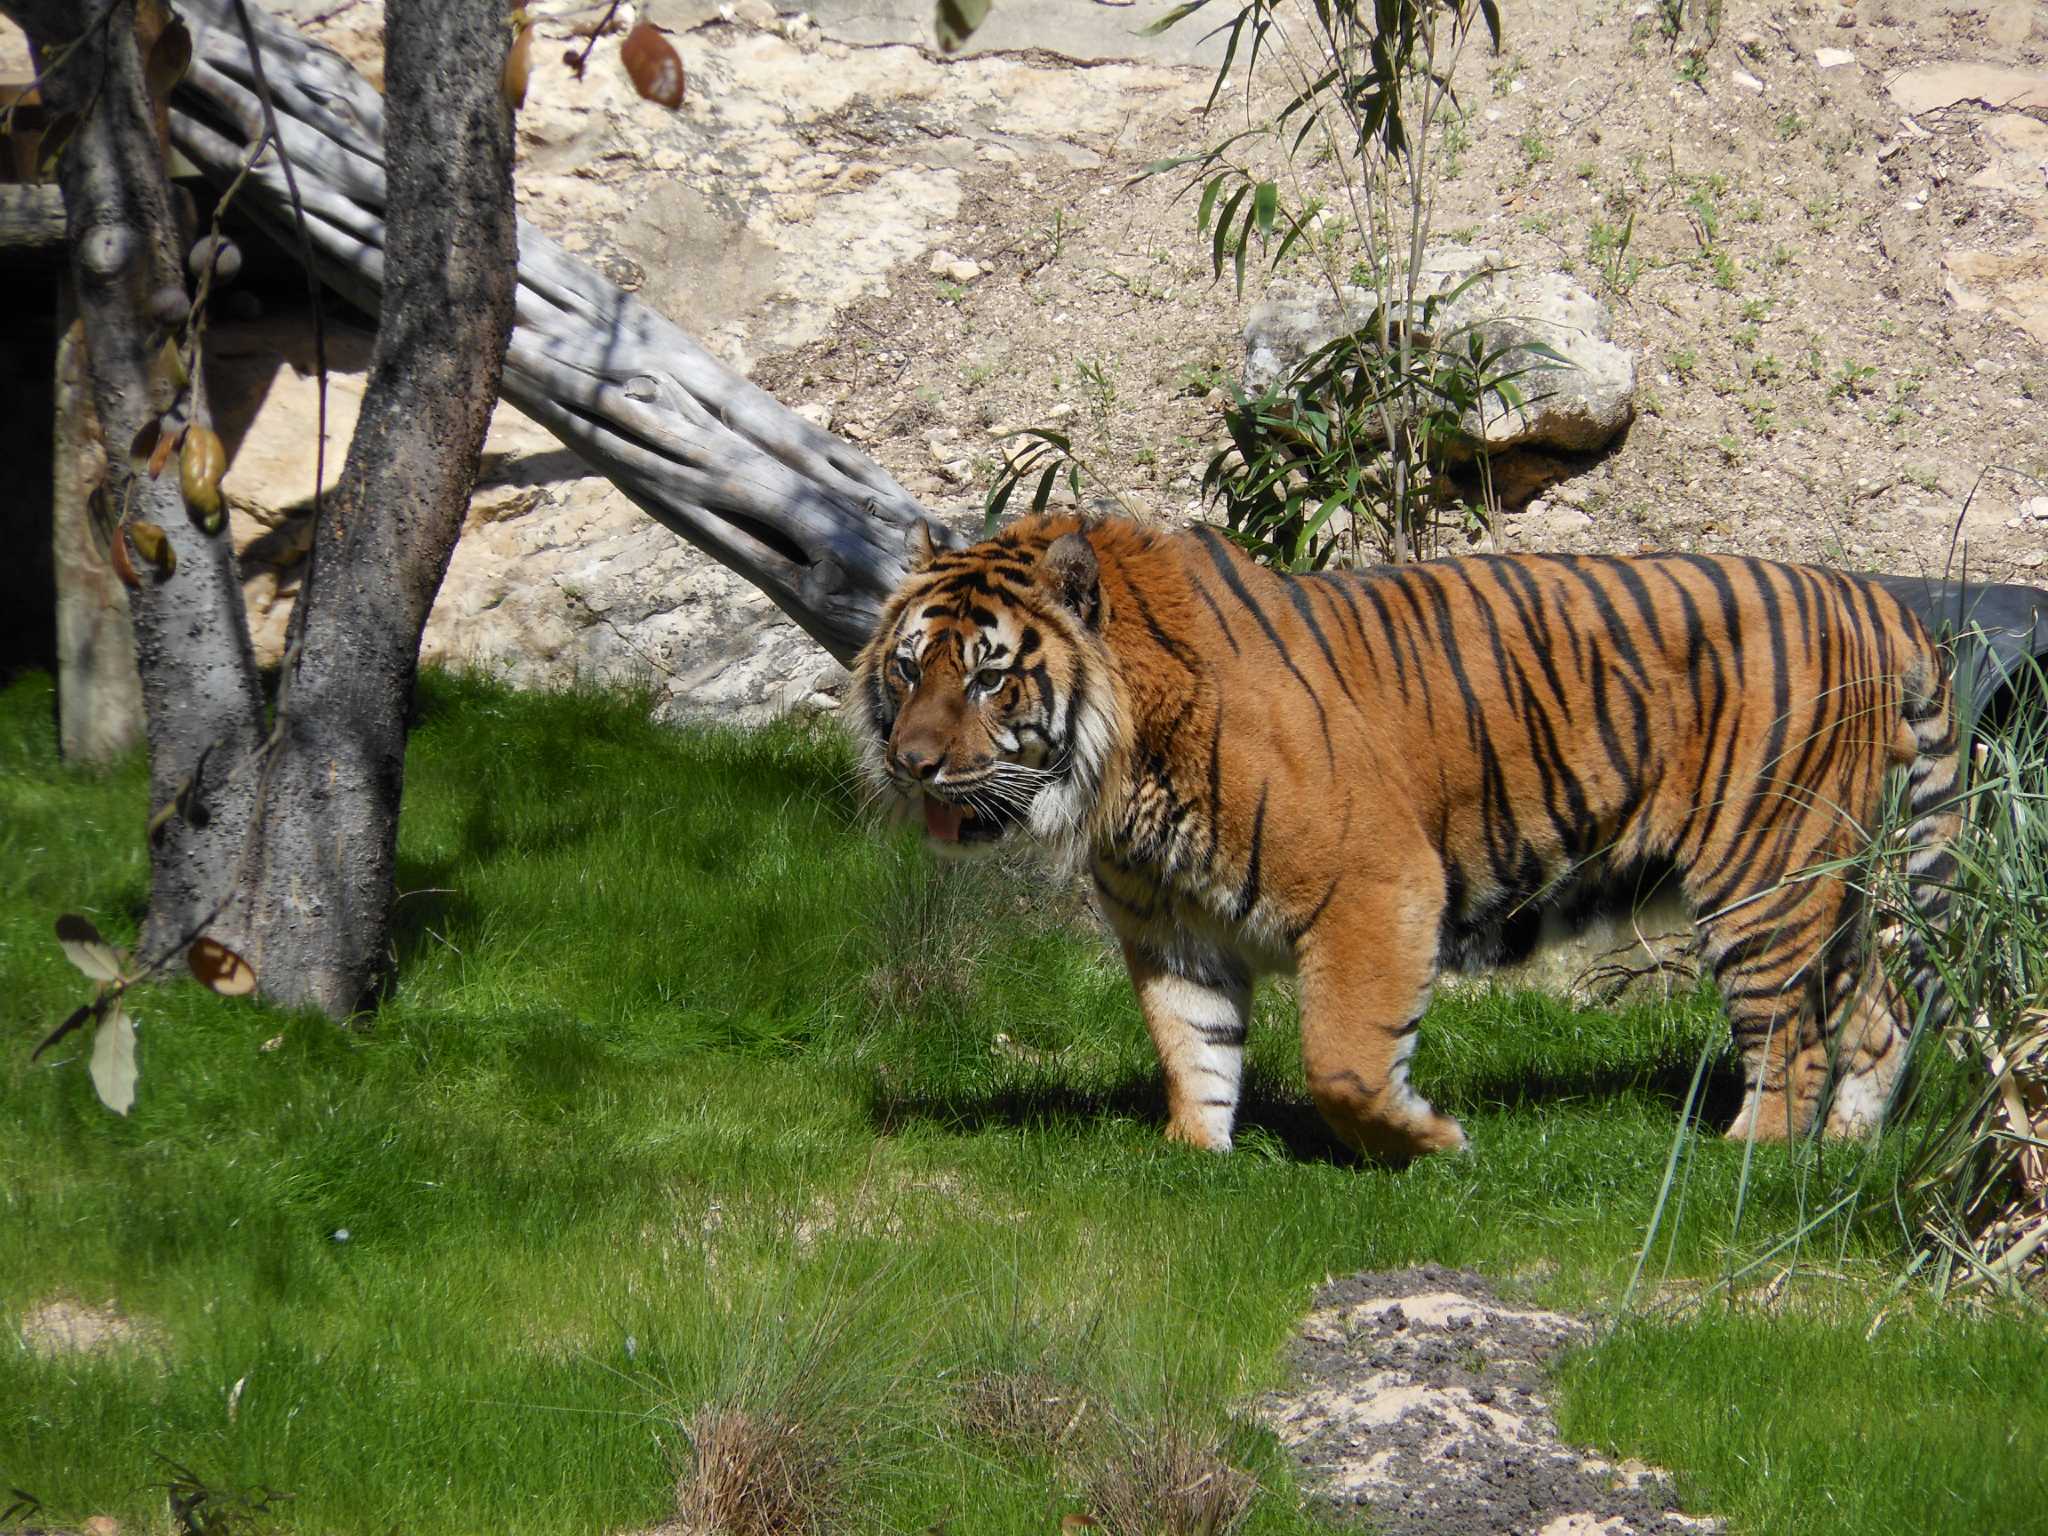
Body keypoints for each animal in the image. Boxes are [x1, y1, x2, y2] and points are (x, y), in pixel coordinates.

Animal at [843, 512, 1949, 1163]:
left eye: (990, 677)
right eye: (907, 668)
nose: (913, 763)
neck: (1123, 769)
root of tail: (1873, 597)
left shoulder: (1375, 884)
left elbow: (1343, 1058)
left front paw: (1428, 1143)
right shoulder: (1174, 928)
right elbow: (1193, 1046)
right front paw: (1193, 1158)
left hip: (1763, 875)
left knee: (1791, 1039)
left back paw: (1746, 1158)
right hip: (1827, 879)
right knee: (1877, 1009)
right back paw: (1849, 1144)